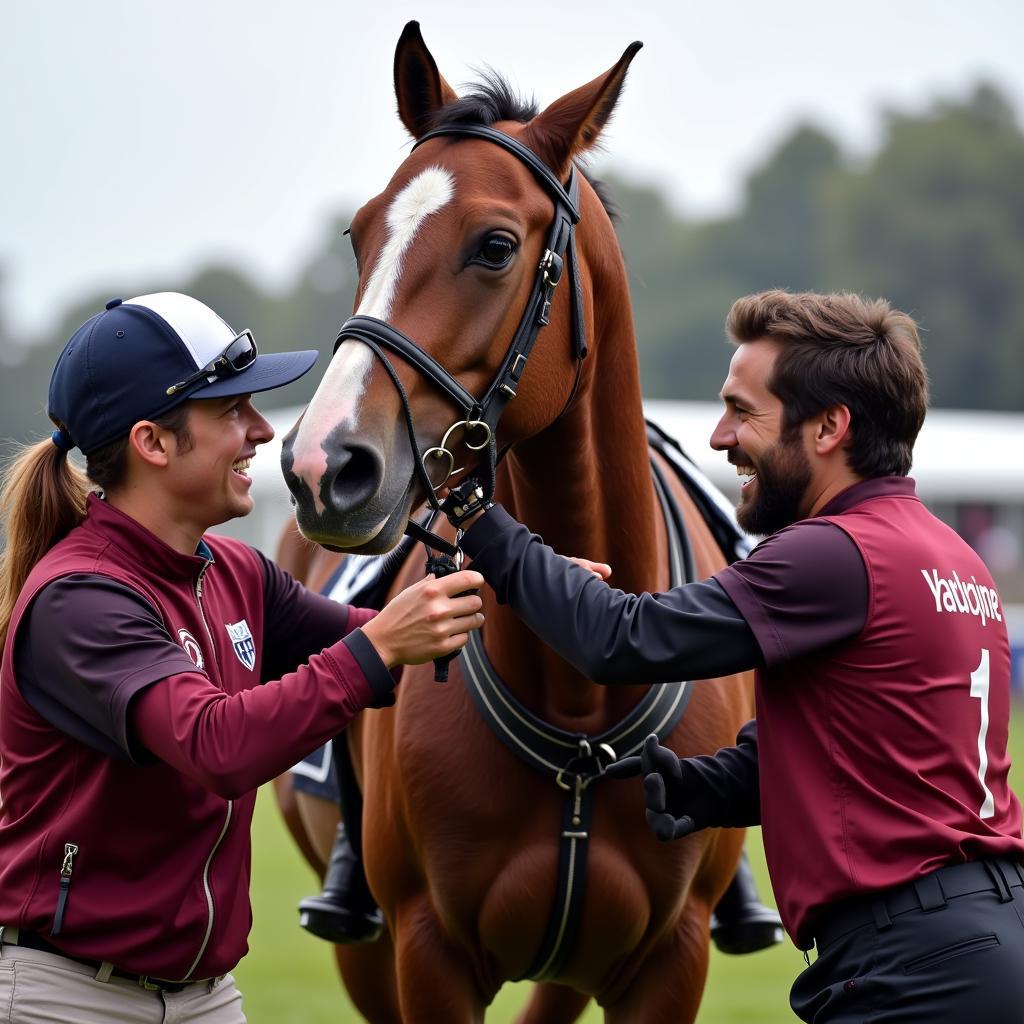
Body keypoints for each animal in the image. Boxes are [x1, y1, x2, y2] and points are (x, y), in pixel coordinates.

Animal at [278, 19, 753, 1019]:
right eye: (359, 234)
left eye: (495, 246)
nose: (322, 464)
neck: (581, 694)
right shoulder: (425, 953)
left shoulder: (669, 961)